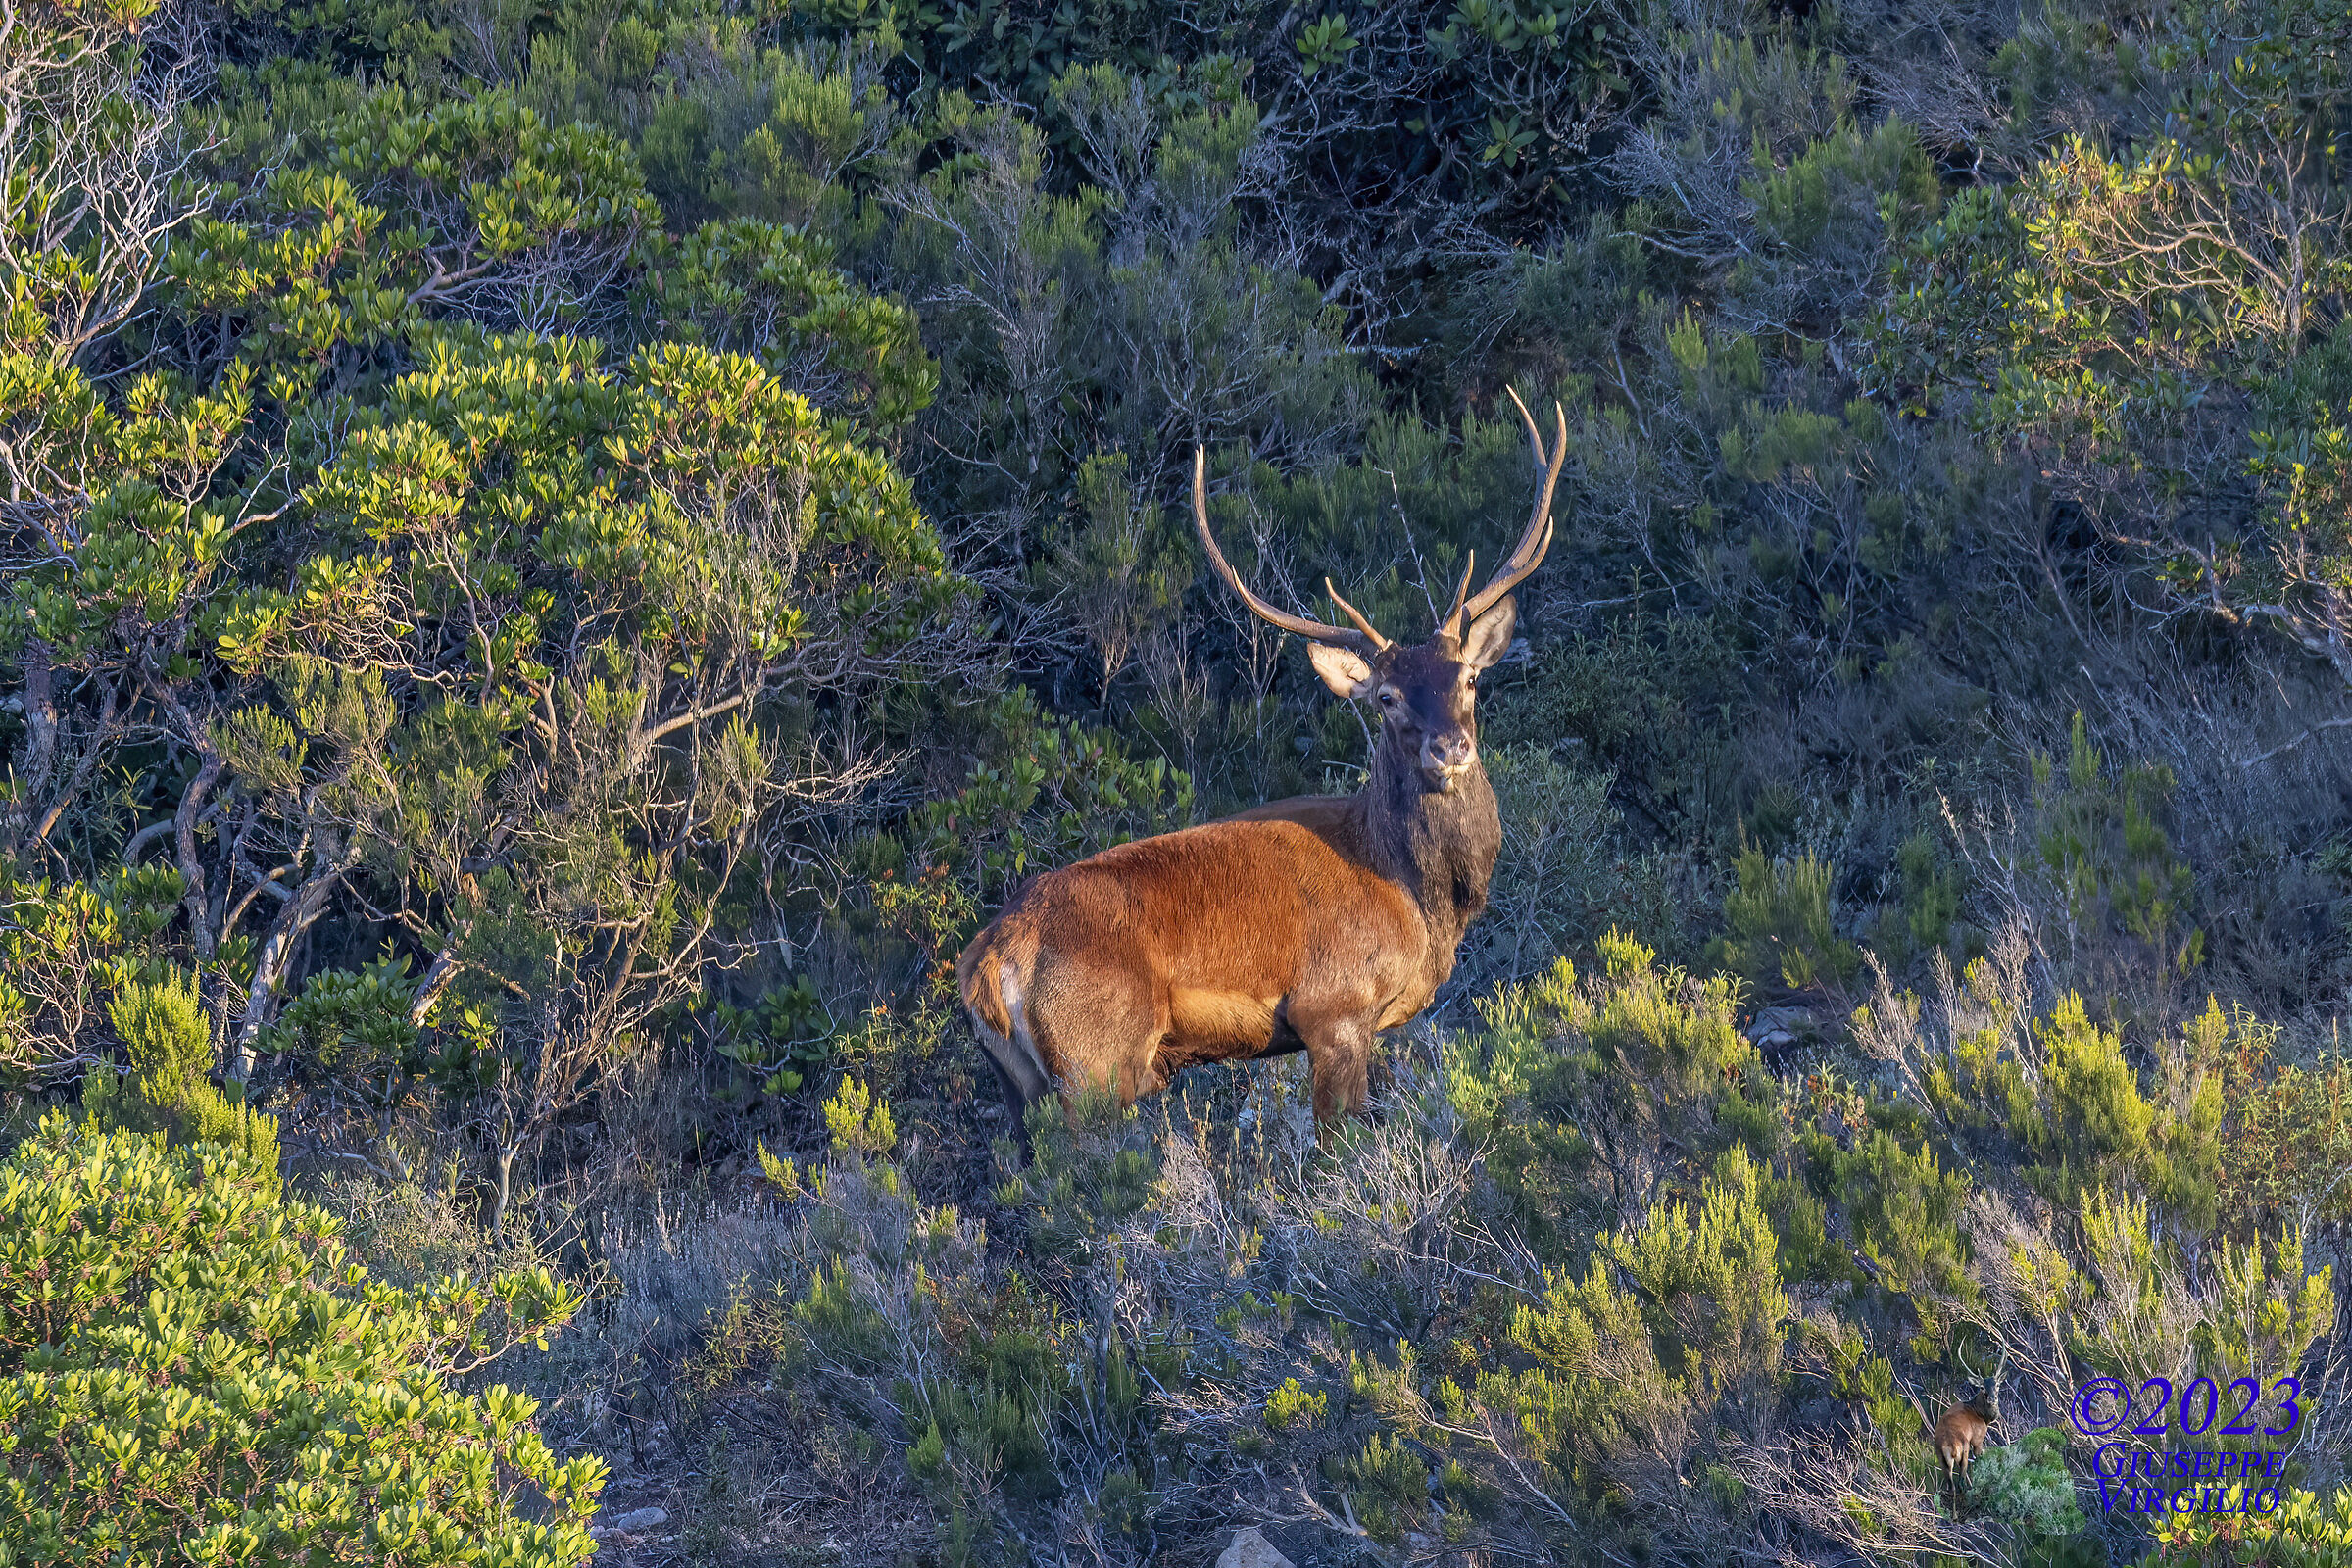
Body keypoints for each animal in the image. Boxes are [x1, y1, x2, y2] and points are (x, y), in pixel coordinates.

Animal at [957, 390, 1569, 1136]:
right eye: (1387, 696)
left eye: (1470, 678)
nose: (1449, 748)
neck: (1417, 896)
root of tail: (986, 966)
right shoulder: (1333, 1009)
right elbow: (1342, 1142)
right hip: (1094, 1066)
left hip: (1019, 1087)